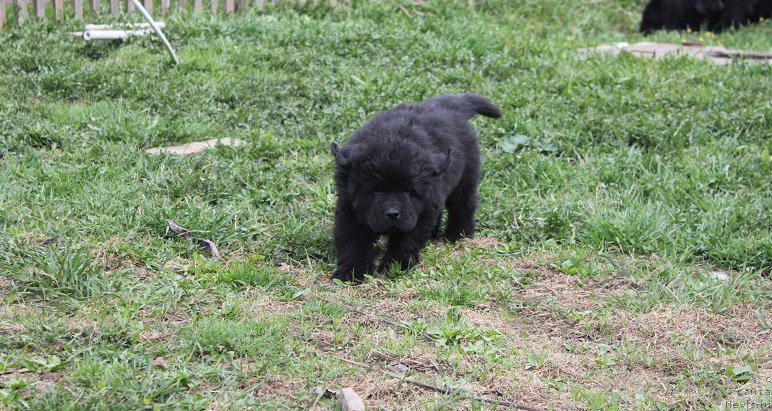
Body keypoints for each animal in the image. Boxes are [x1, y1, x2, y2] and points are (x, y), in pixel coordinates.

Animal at [330, 93, 500, 282]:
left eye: (408, 191)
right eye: (375, 191)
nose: (392, 214)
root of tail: (452, 104)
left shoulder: (420, 214)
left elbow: (406, 241)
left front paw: (395, 266)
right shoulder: (349, 209)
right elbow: (353, 242)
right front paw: (350, 272)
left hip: (465, 179)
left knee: (463, 206)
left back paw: (459, 234)